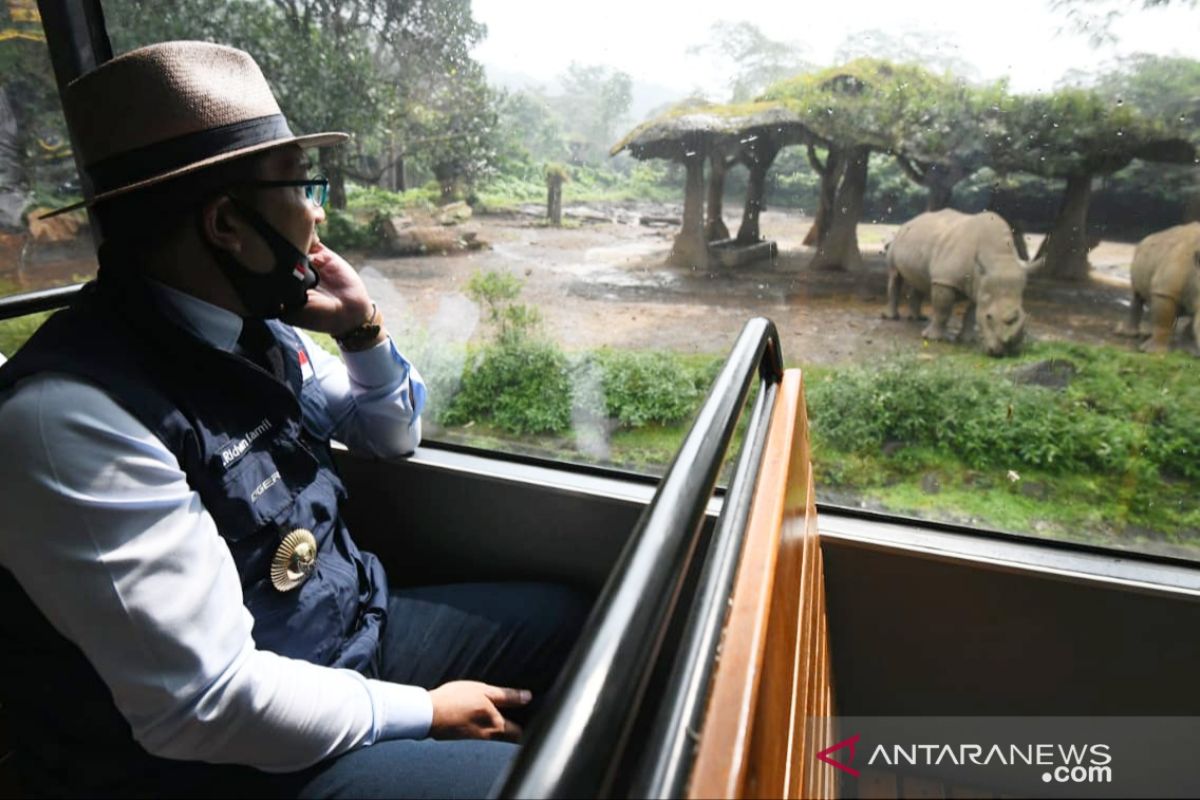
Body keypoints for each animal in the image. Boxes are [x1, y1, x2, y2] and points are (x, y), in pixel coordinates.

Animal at [883, 209, 1041, 357]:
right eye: (989, 317)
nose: (1002, 354)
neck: (997, 257)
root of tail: (910, 221)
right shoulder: (945, 280)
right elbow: (943, 310)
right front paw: (933, 338)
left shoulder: (980, 286)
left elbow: (972, 314)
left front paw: (967, 340)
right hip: (896, 241)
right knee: (895, 276)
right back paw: (892, 317)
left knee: (918, 281)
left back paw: (918, 318)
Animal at [1113, 221, 1200, 352]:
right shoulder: (1165, 291)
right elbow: (1163, 321)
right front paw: (1154, 352)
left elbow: (1192, 323)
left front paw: (1188, 348)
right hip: (1139, 253)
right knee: (1138, 295)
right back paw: (1131, 334)